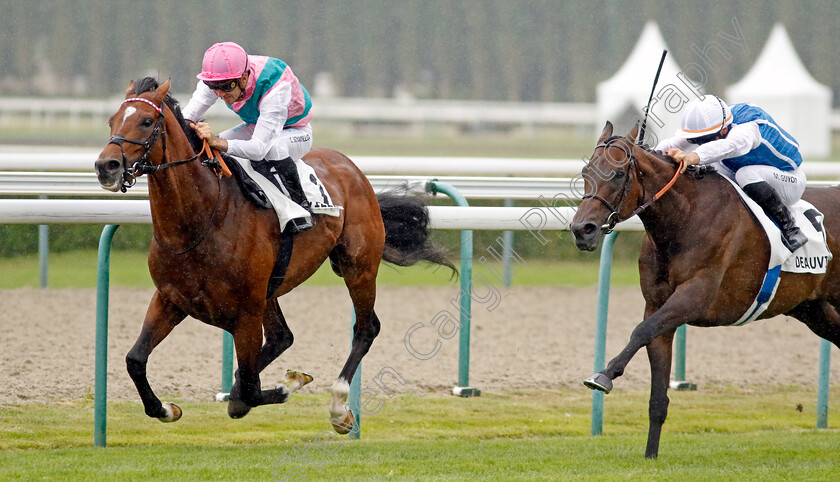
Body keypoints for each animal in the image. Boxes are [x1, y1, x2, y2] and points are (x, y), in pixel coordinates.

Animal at [92, 78, 452, 434]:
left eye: (146, 121)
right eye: (111, 121)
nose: (105, 166)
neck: (201, 221)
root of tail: (352, 169)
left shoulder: (246, 313)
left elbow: (251, 390)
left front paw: (288, 384)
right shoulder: (170, 298)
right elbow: (136, 360)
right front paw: (167, 408)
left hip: (357, 266)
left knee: (365, 329)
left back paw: (339, 408)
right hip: (272, 287)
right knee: (282, 337)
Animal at [568, 121, 840, 460]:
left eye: (618, 174)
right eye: (585, 172)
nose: (582, 230)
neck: (686, 216)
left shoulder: (695, 295)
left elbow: (640, 331)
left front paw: (603, 375)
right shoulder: (657, 304)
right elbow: (656, 386)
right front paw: (650, 455)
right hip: (813, 308)